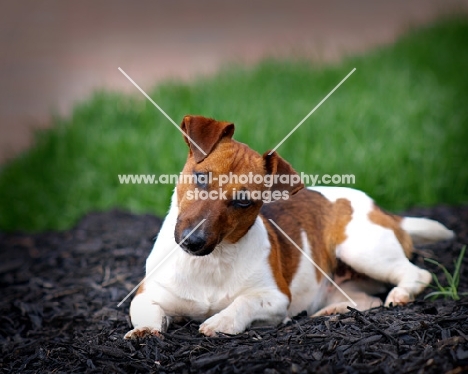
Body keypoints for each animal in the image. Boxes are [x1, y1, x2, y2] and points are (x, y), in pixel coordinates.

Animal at [123, 114, 454, 338]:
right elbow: (147, 312)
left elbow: (244, 302)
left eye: (243, 201)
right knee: (366, 300)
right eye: (201, 178)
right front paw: (145, 332)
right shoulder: (146, 295)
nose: (193, 241)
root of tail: (383, 211)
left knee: (416, 274)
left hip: (362, 251)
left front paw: (221, 321)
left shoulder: (276, 298)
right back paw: (332, 311)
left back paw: (400, 294)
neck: (211, 262)